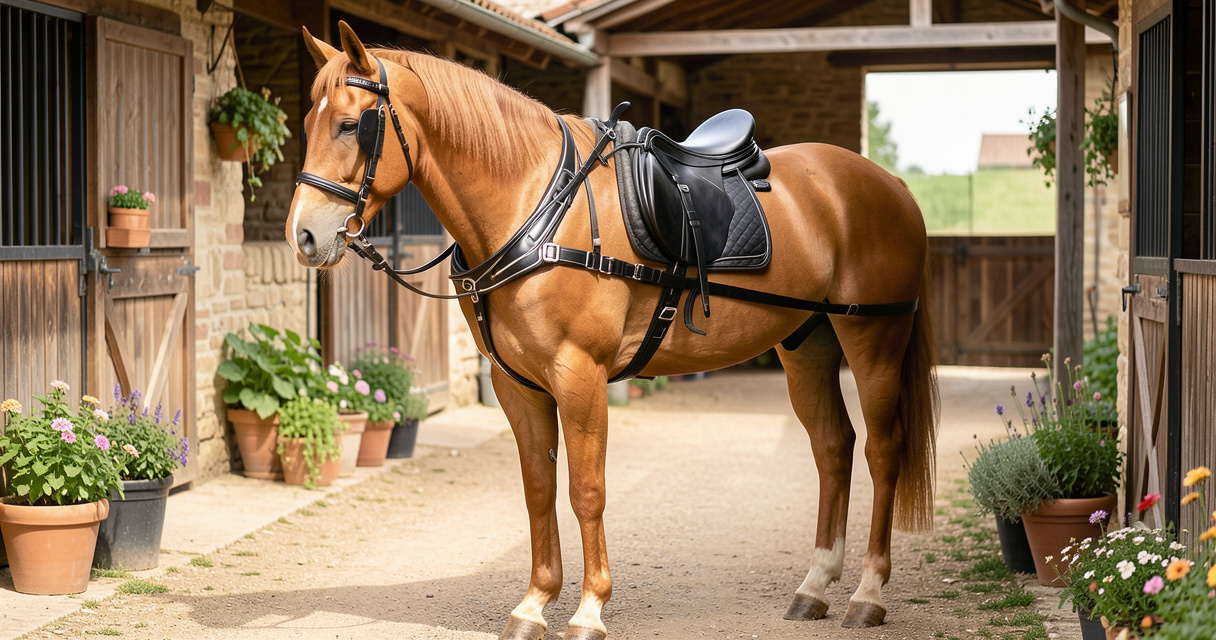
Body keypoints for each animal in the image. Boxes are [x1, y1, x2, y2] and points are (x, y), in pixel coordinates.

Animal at [287, 22, 939, 640]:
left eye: (351, 125)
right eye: (308, 122)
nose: (305, 237)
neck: (537, 202)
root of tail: (889, 184)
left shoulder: (580, 375)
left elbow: (587, 490)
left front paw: (588, 610)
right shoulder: (516, 385)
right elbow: (538, 489)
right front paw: (534, 604)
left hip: (873, 342)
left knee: (882, 451)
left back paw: (868, 594)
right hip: (807, 345)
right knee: (832, 446)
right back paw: (815, 587)